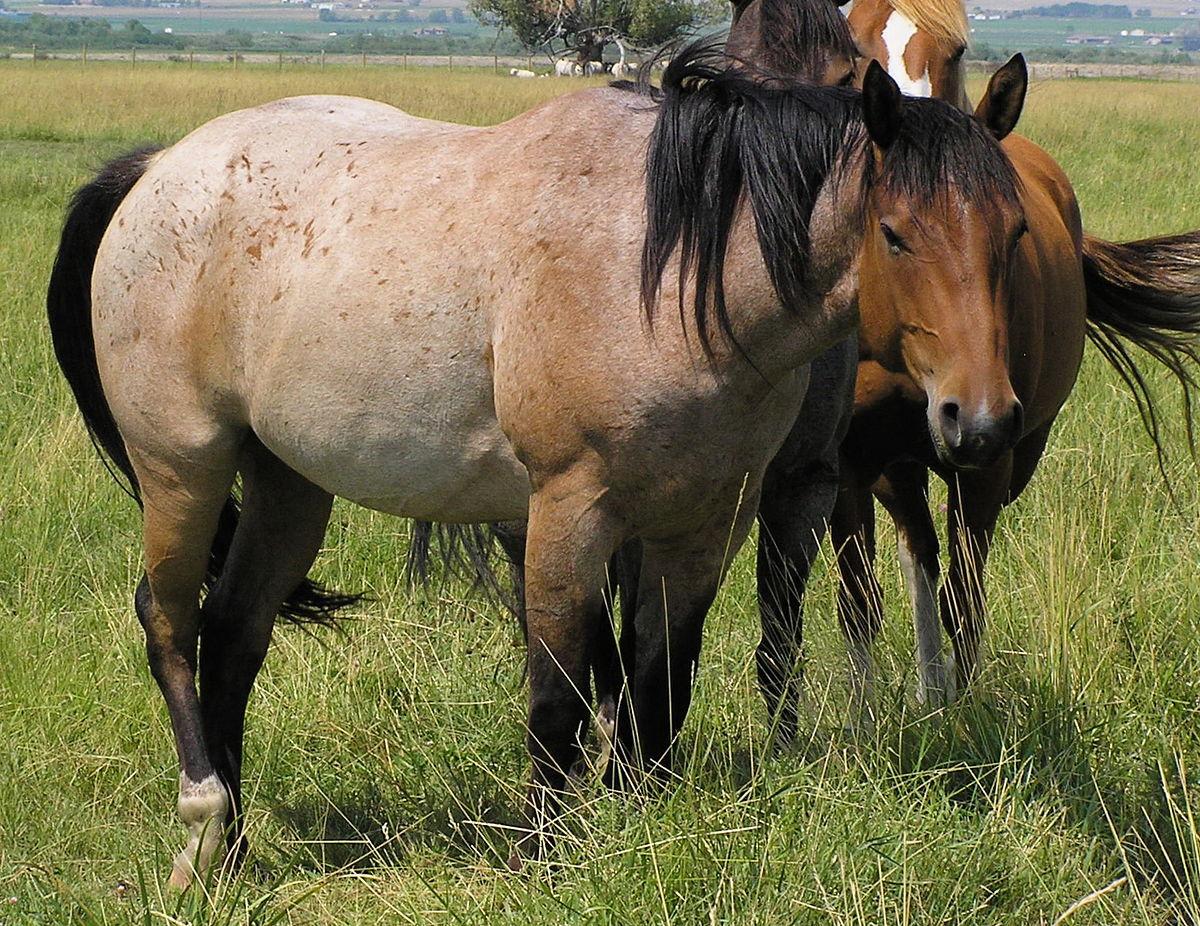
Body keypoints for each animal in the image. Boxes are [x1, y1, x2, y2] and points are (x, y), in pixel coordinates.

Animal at [51, 41, 1046, 882]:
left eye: (1013, 236)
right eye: (896, 233)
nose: (980, 421)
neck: (669, 271)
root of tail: (157, 171)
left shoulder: (704, 525)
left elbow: (659, 683)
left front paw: (639, 824)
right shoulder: (570, 511)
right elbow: (559, 694)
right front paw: (543, 856)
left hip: (289, 485)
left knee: (234, 637)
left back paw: (237, 852)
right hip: (183, 469)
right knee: (171, 622)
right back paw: (203, 826)